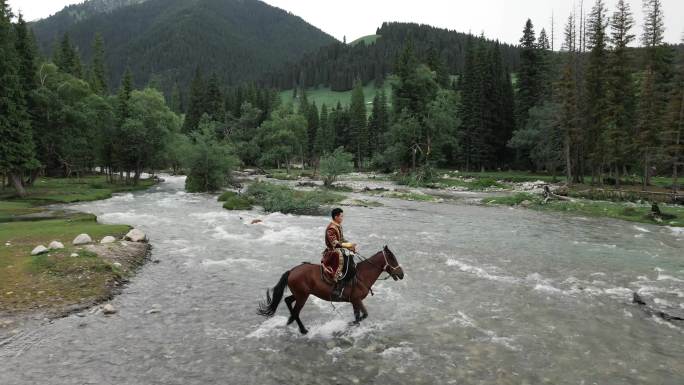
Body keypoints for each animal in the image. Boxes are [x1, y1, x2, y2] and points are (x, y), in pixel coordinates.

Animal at [260, 246, 404, 332]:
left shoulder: (354, 301)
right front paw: (349, 324)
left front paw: (353, 326)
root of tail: (292, 271)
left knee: (287, 301)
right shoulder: (357, 300)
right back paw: (303, 330)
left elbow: (358, 316)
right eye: (393, 259)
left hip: (300, 294)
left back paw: (291, 321)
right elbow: (364, 315)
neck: (362, 275)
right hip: (302, 296)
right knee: (296, 311)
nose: (401, 274)